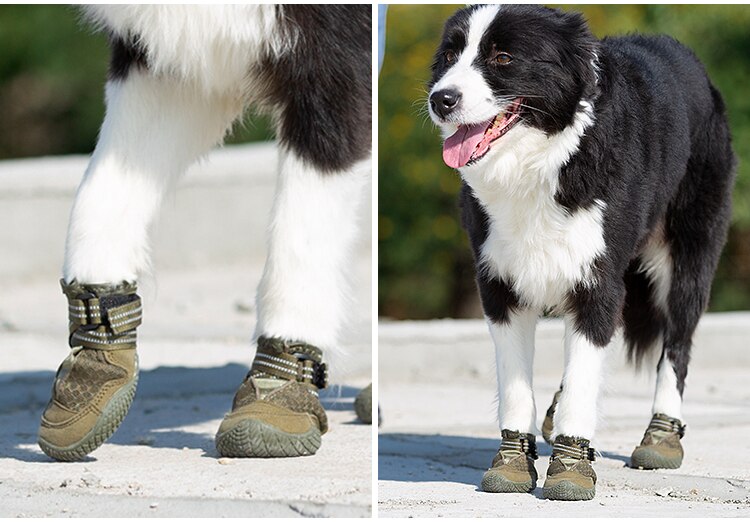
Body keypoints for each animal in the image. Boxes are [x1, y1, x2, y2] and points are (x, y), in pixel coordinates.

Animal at [70, 5, 374, 354]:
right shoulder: (175, 62)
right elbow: (102, 194)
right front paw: (97, 347)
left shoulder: (337, 62)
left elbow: (301, 234)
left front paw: (290, 347)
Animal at [428, 4, 736, 486]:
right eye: (448, 56)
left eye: (503, 58)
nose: (441, 99)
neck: (544, 161)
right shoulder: (498, 284)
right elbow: (516, 384)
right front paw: (512, 461)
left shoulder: (598, 282)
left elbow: (583, 376)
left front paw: (570, 469)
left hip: (690, 252)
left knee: (677, 342)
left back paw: (661, 436)